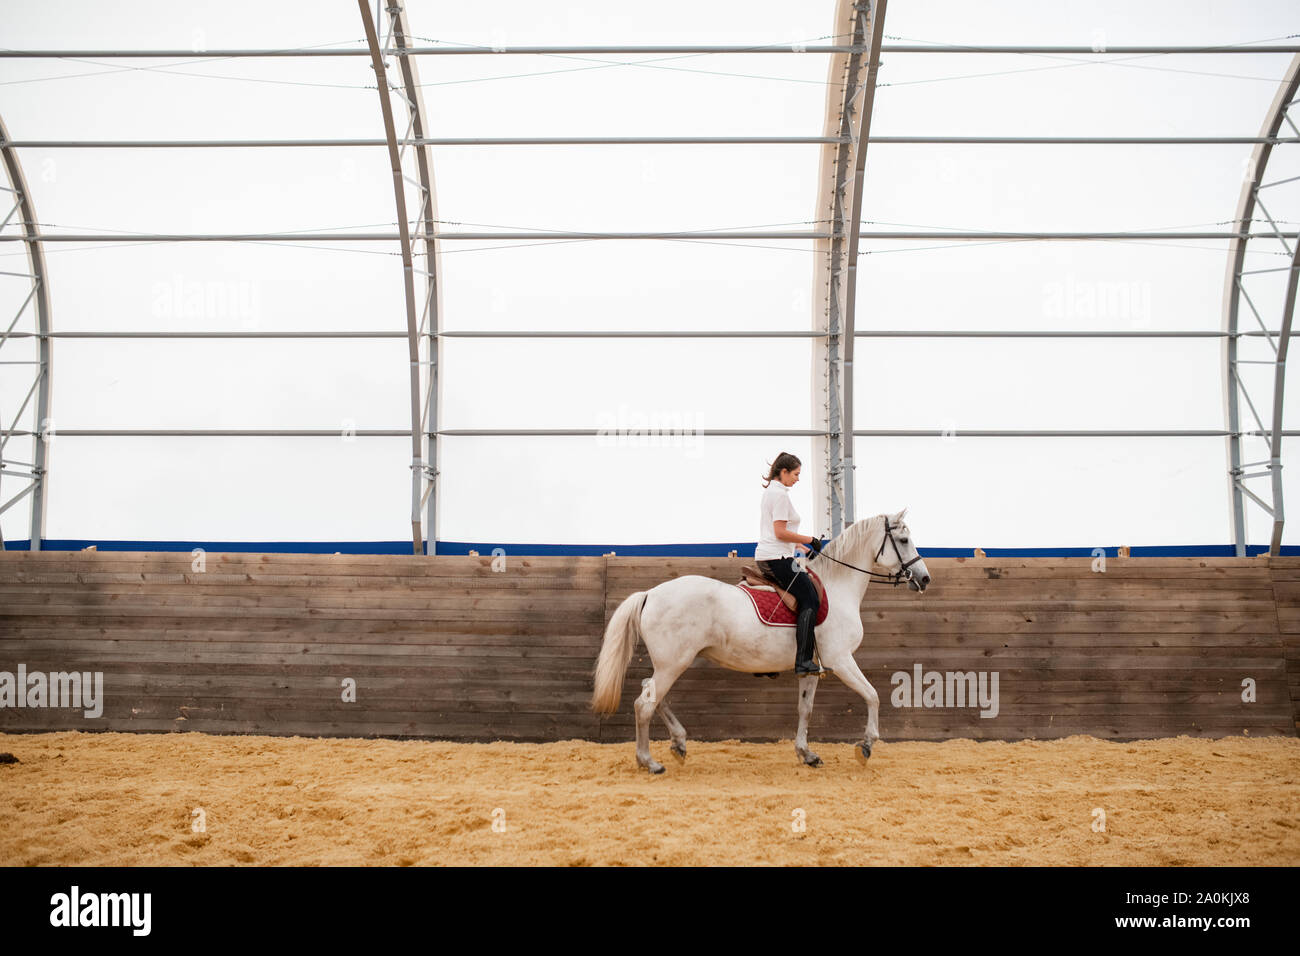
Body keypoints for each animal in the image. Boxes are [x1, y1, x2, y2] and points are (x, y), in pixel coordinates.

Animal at [590, 508, 930, 773]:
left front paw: (807, 754)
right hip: (673, 663)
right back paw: (649, 761)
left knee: (653, 693)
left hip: (674, 663)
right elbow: (872, 695)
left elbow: (805, 709)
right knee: (645, 703)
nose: (924, 578)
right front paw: (866, 745)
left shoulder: (811, 668)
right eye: (903, 540)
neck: (837, 587)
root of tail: (650, 593)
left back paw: (679, 743)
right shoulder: (841, 660)